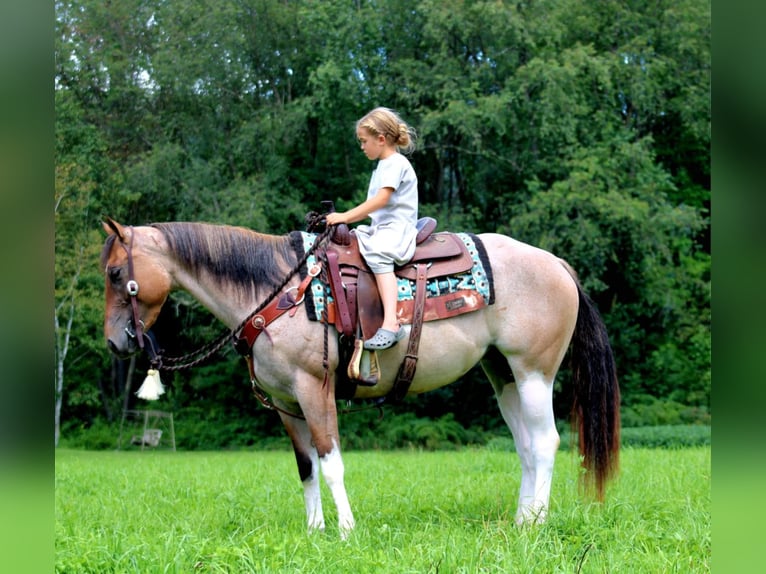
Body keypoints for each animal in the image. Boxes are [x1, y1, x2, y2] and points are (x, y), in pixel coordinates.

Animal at [102, 217, 620, 540]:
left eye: (114, 272)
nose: (115, 342)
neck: (277, 289)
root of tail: (557, 265)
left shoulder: (314, 389)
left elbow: (331, 462)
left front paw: (346, 531)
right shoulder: (286, 404)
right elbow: (306, 468)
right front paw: (314, 532)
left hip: (535, 372)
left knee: (547, 441)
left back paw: (537, 523)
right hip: (504, 375)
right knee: (526, 446)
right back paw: (521, 520)